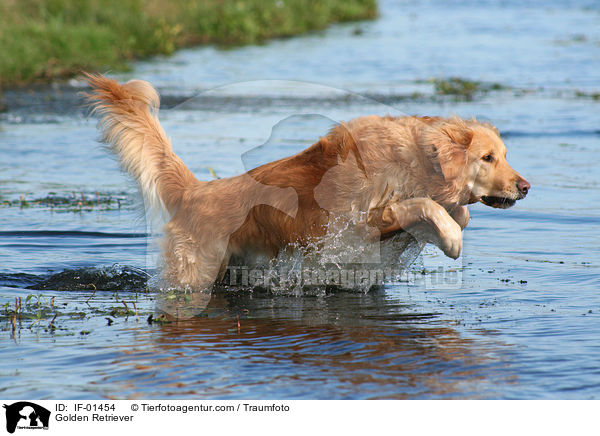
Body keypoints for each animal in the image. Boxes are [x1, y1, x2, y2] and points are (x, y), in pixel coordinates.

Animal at [85, 74, 528, 290]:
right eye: (487, 158)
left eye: (505, 154)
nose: (525, 187)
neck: (413, 159)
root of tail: (193, 190)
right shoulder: (355, 223)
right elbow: (428, 206)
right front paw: (451, 238)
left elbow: (448, 211)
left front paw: (452, 224)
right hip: (195, 273)